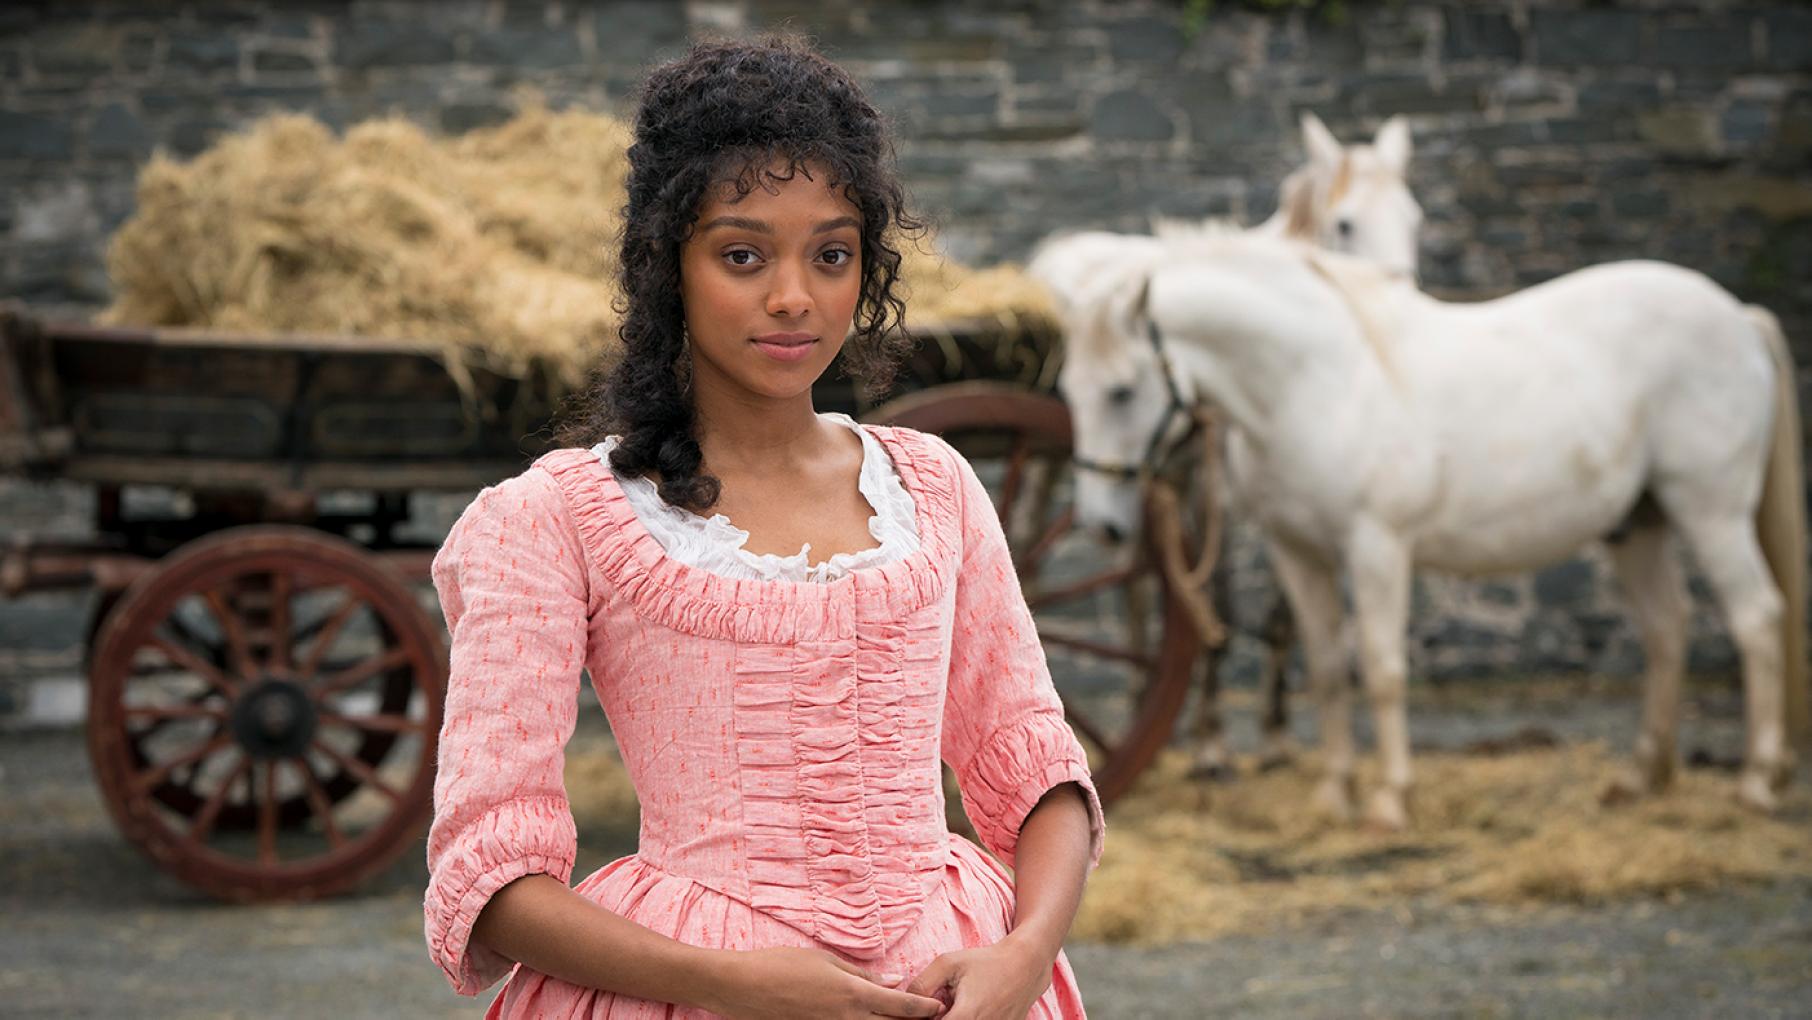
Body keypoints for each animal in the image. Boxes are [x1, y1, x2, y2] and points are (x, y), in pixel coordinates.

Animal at [1058, 233, 1797, 829]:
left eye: (1122, 390)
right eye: (1068, 388)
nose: (1102, 522)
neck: (1318, 383)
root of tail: (1739, 317)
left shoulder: (1377, 548)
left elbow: (1382, 668)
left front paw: (1390, 799)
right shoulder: (1298, 553)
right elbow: (1326, 668)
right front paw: (1335, 795)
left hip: (1710, 512)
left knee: (1757, 620)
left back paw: (1757, 782)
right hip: (1637, 525)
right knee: (1667, 629)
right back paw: (1643, 777)